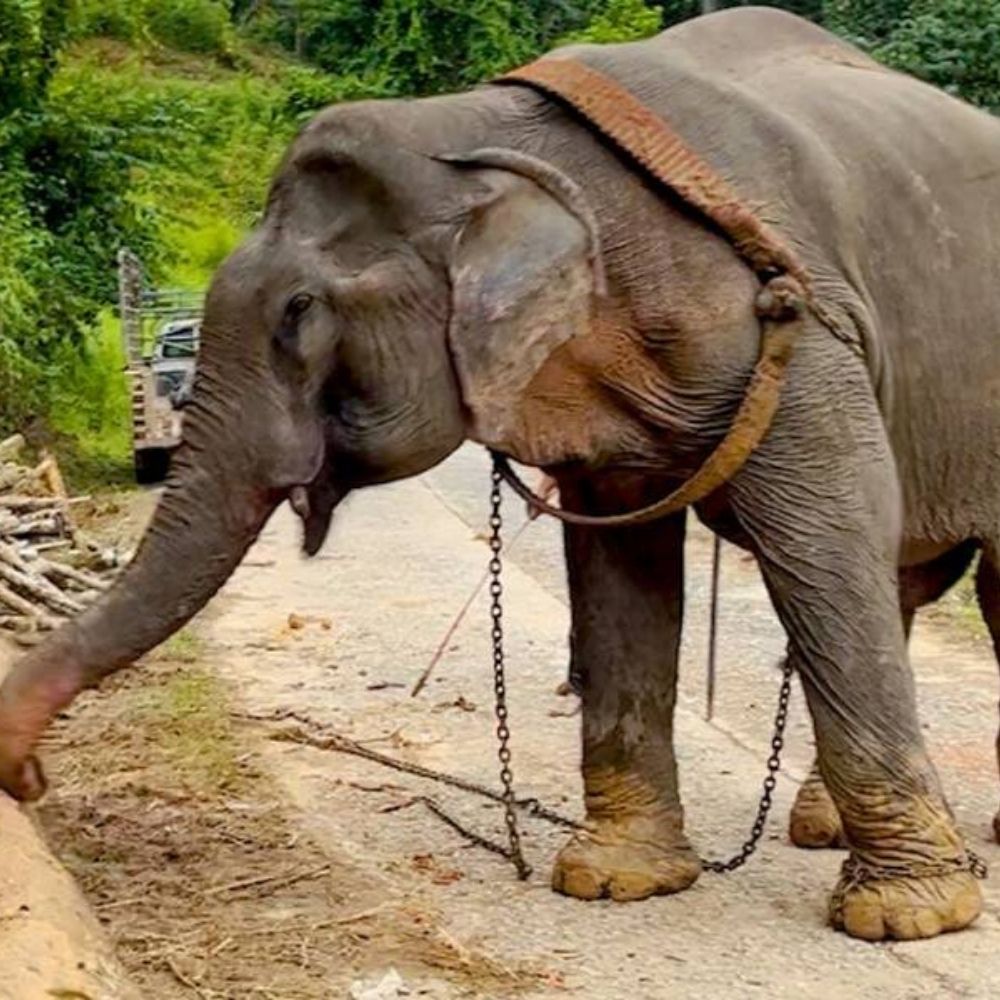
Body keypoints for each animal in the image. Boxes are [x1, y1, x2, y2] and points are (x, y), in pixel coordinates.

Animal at [0, 7, 998, 942]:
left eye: (298, 312)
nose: (30, 776)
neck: (469, 131)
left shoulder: (795, 331)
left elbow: (823, 536)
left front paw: (908, 918)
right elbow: (622, 571)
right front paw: (614, 881)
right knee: (906, 580)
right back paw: (821, 828)